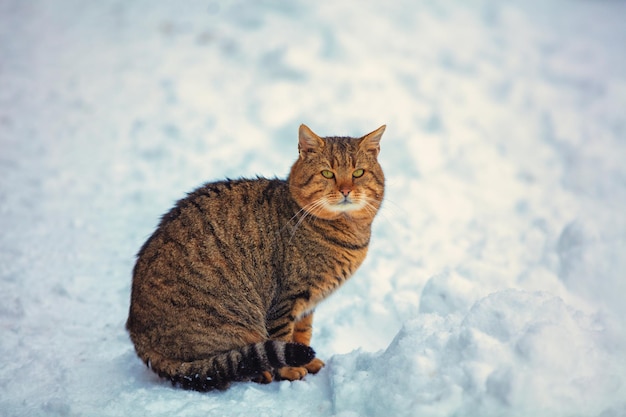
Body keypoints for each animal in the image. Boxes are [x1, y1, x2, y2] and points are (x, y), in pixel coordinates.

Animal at [125, 123, 386, 390]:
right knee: (225, 364)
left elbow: (303, 334)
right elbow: (284, 337)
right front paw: (290, 371)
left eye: (358, 173)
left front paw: (308, 361)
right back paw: (260, 372)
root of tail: (140, 342)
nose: (345, 190)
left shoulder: (307, 306)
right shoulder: (286, 298)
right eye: (327, 173)